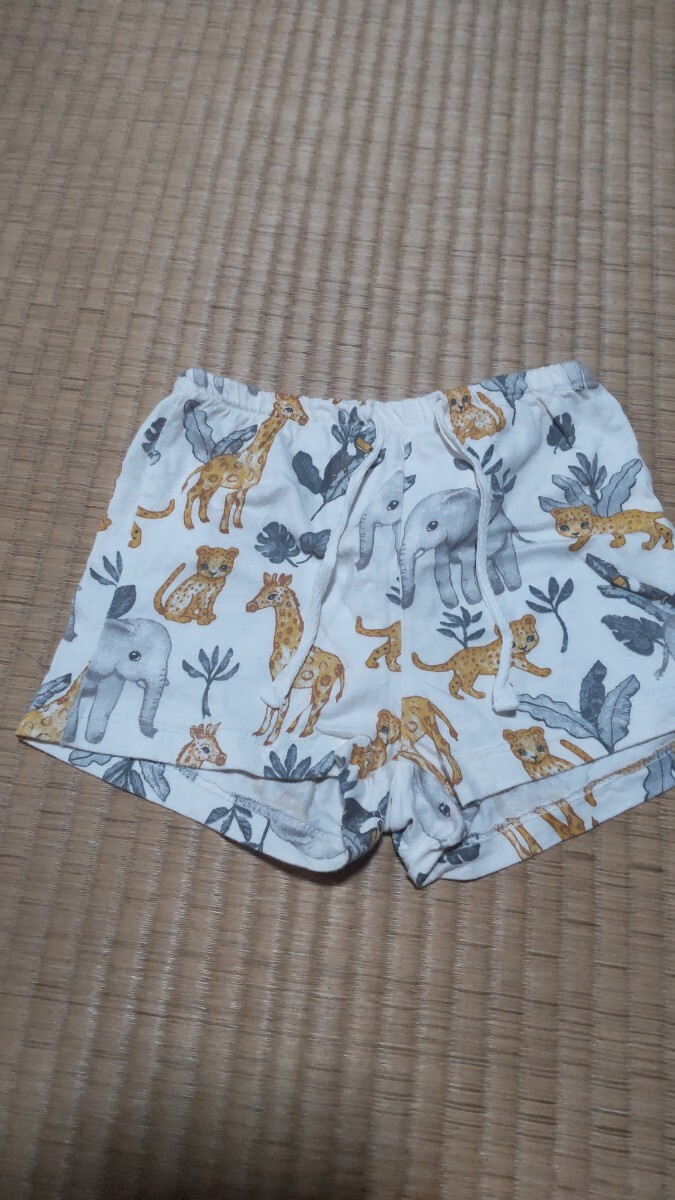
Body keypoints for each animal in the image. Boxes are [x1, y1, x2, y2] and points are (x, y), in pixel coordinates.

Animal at [182, 392, 309, 533]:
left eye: (300, 405)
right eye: (289, 408)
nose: (305, 419)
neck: (254, 457)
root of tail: (206, 465)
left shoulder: (245, 489)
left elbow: (240, 504)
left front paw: (237, 524)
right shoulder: (240, 486)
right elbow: (229, 500)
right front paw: (224, 529)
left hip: (214, 484)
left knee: (204, 497)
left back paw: (204, 519)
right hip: (208, 481)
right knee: (191, 493)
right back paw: (189, 525)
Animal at [246, 572, 345, 745]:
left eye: (272, 595)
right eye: (261, 590)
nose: (249, 606)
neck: (287, 646)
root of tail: (341, 665)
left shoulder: (285, 684)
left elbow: (282, 711)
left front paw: (270, 739)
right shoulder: (274, 680)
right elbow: (269, 709)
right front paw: (260, 732)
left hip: (323, 685)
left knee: (317, 708)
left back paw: (303, 734)